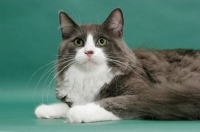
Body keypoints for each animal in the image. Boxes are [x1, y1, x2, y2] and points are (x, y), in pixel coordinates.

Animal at [34, 8, 200, 123]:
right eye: (78, 42)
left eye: (101, 41)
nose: (89, 52)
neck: (89, 76)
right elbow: (68, 104)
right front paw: (47, 109)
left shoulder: (145, 92)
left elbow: (111, 101)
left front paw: (79, 111)